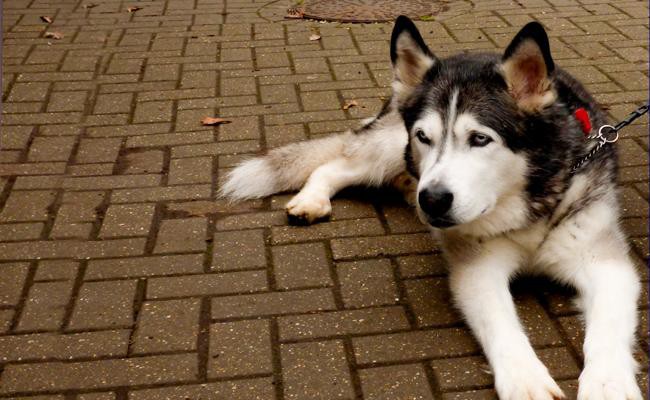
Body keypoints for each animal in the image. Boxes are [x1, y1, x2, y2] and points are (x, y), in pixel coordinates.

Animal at [220, 15, 640, 400]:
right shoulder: (478, 269)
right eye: (425, 136)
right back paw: (313, 199)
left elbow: (606, 330)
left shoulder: (606, 264)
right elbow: (503, 326)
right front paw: (525, 381)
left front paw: (608, 385)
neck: (526, 208)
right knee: (334, 164)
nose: (433, 200)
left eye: (480, 139)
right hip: (390, 148)